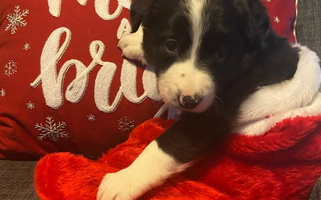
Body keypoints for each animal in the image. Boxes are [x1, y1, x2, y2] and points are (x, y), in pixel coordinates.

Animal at [97, 0, 298, 200]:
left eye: (221, 53)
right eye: (171, 45)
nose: (189, 101)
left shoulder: (210, 116)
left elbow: (165, 145)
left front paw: (124, 180)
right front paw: (137, 40)